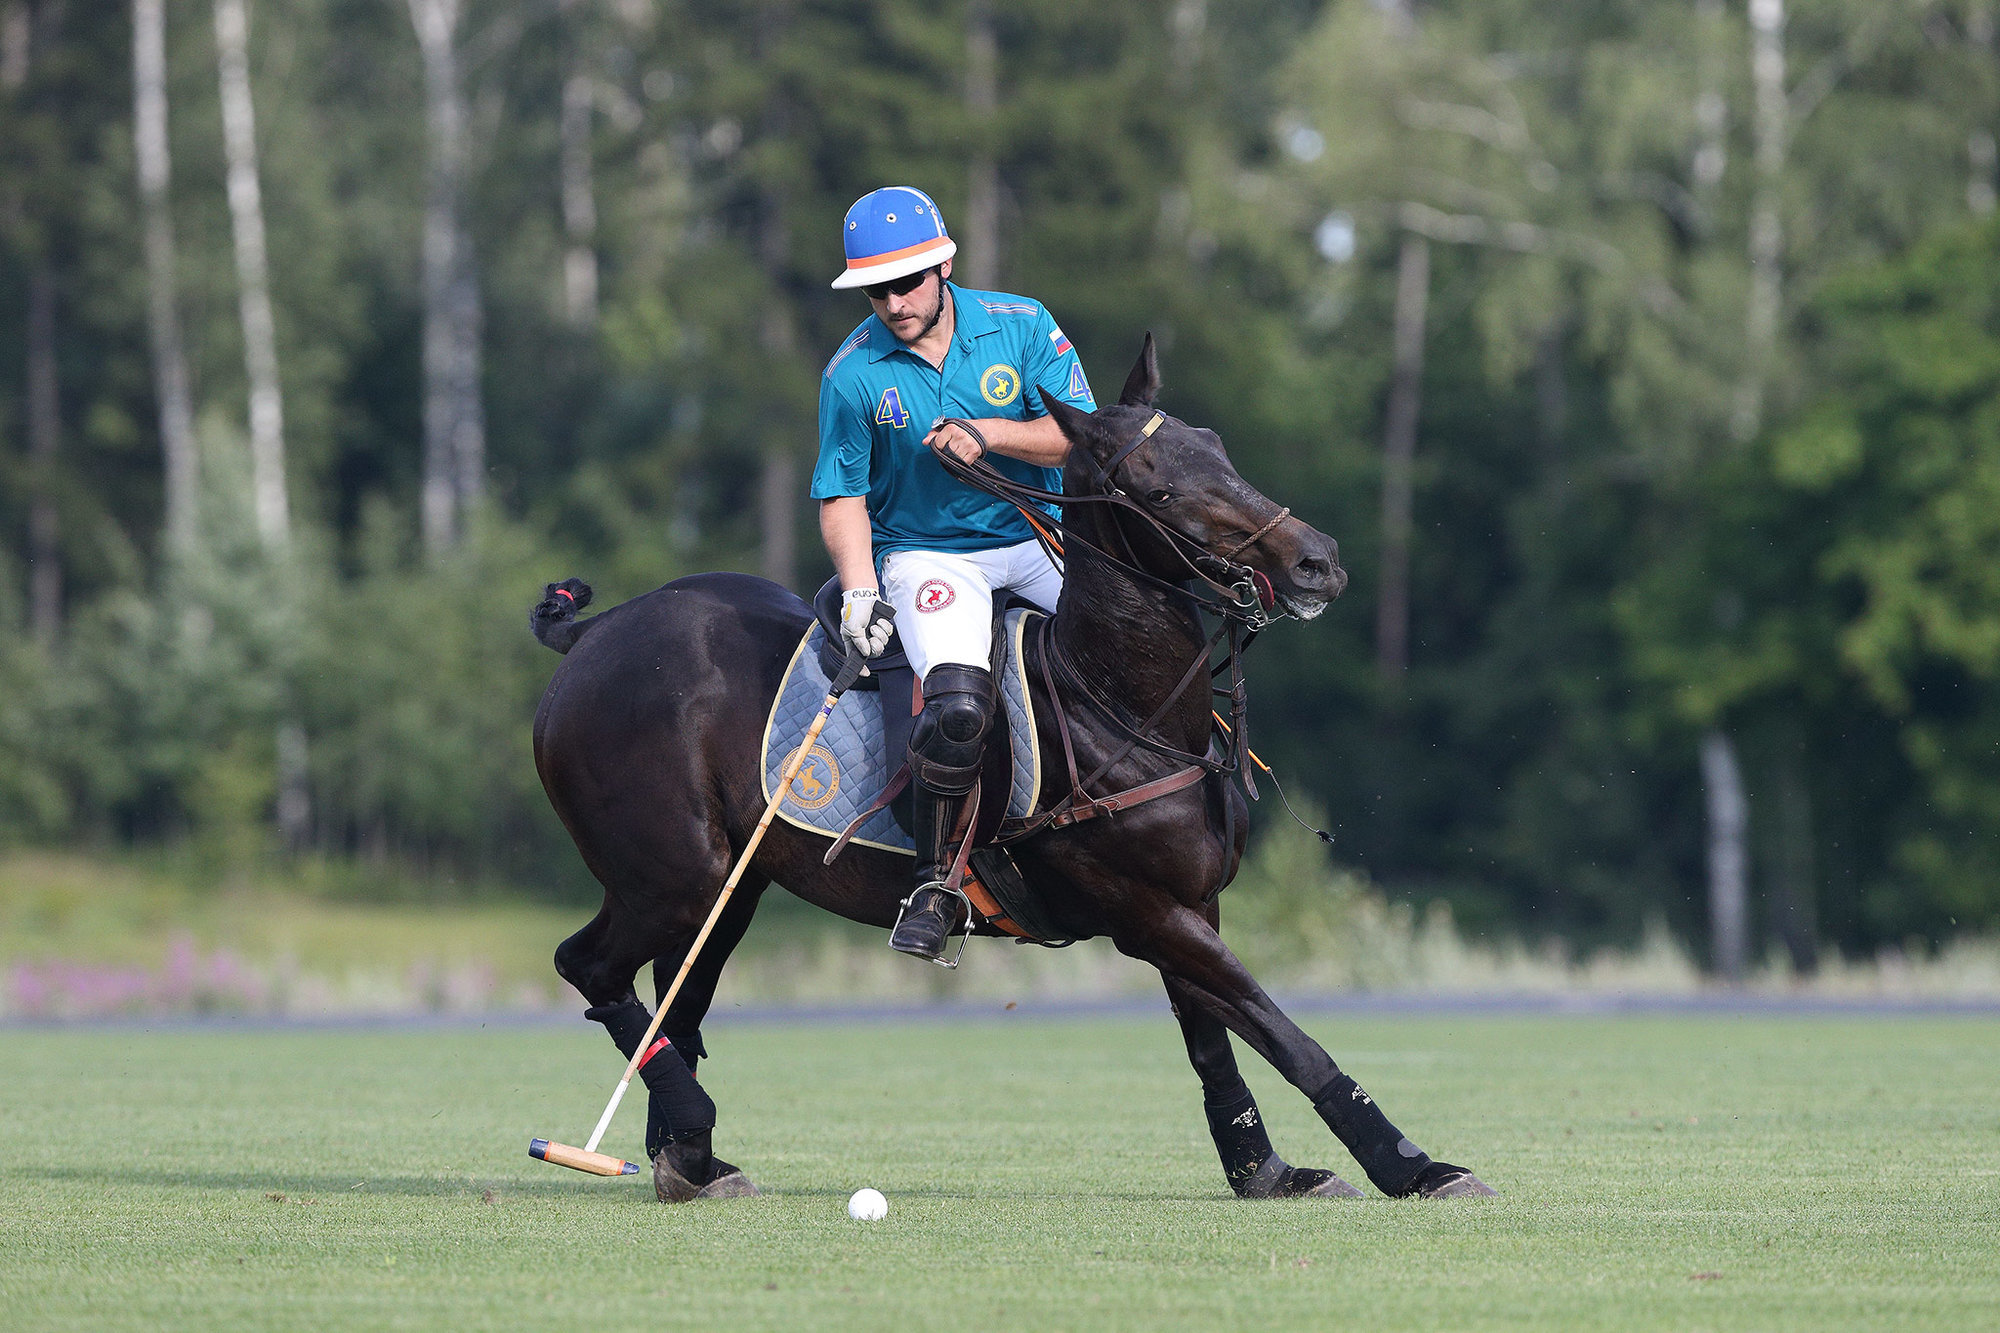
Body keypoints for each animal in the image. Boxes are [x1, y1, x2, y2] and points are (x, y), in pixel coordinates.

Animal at [524, 338, 1496, 1200]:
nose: (1316, 560)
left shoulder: (1192, 902)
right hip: (671, 873)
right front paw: (1413, 1166)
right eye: (1158, 487)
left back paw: (690, 1159)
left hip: (732, 884)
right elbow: (1282, 1030)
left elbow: (1212, 1039)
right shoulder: (1146, 911)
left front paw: (1266, 1171)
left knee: (676, 1004)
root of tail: (594, 633)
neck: (1119, 704)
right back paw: (679, 1133)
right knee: (593, 968)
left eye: (1221, 447)